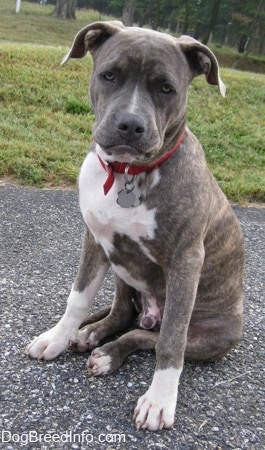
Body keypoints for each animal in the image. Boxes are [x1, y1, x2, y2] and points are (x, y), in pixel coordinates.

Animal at [26, 22, 243, 430]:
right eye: (109, 75)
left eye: (166, 88)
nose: (130, 124)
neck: (129, 173)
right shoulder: (95, 240)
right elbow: (78, 299)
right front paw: (59, 337)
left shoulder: (186, 262)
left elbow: (170, 341)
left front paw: (159, 401)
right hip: (122, 270)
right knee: (123, 313)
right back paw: (91, 333)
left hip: (214, 336)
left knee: (148, 334)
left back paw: (109, 351)